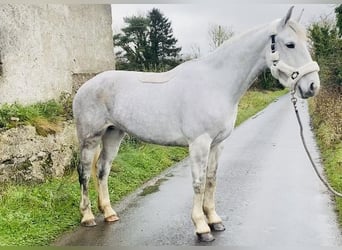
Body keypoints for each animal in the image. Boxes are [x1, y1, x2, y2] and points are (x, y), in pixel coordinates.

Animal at [73, 6, 320, 242]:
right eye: (290, 44)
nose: (312, 86)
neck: (217, 84)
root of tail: (85, 86)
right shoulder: (199, 144)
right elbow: (198, 183)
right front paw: (202, 228)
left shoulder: (217, 144)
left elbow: (211, 180)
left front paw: (214, 220)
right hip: (90, 138)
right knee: (84, 172)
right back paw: (87, 217)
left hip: (113, 134)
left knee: (103, 169)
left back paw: (109, 213)